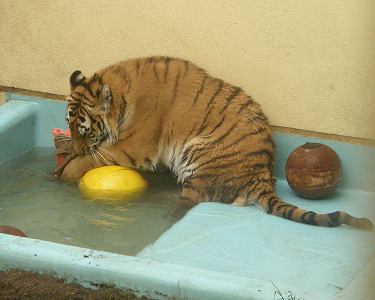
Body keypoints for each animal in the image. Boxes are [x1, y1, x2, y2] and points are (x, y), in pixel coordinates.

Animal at [55, 55, 374, 230]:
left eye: (85, 131)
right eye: (70, 126)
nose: (76, 144)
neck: (121, 92)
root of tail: (263, 175)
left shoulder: (132, 147)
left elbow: (92, 158)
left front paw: (66, 172)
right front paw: (63, 158)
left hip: (200, 153)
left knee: (190, 199)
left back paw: (164, 212)